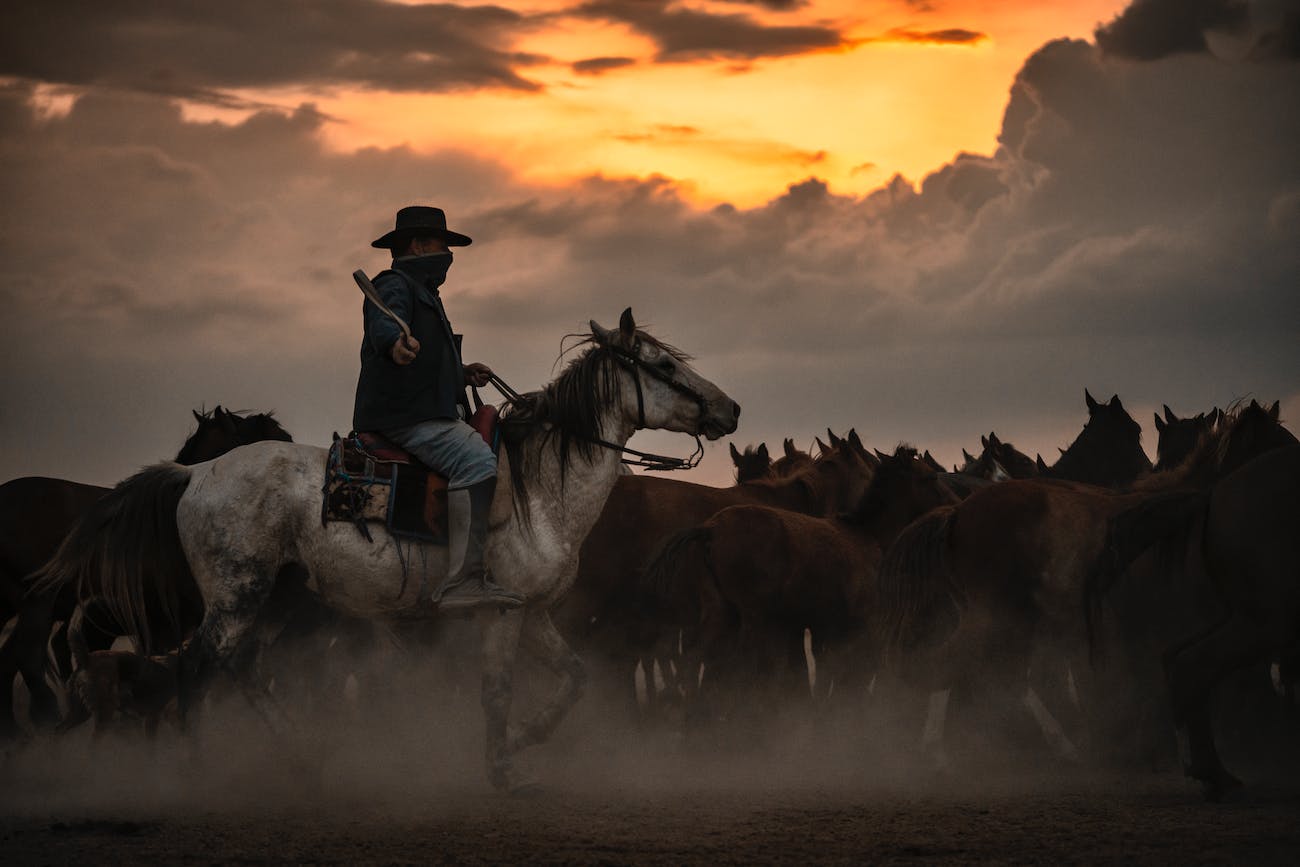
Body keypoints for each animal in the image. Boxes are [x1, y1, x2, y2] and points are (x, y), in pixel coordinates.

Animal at [40, 311, 743, 795]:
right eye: (664, 366)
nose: (731, 407)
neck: (541, 489)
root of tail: (196, 475)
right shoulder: (501, 612)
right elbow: (496, 691)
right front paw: (503, 769)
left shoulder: (535, 611)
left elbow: (573, 680)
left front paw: (523, 742)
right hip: (237, 597)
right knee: (198, 670)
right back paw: (199, 769)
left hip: (266, 601)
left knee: (240, 669)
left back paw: (300, 761)